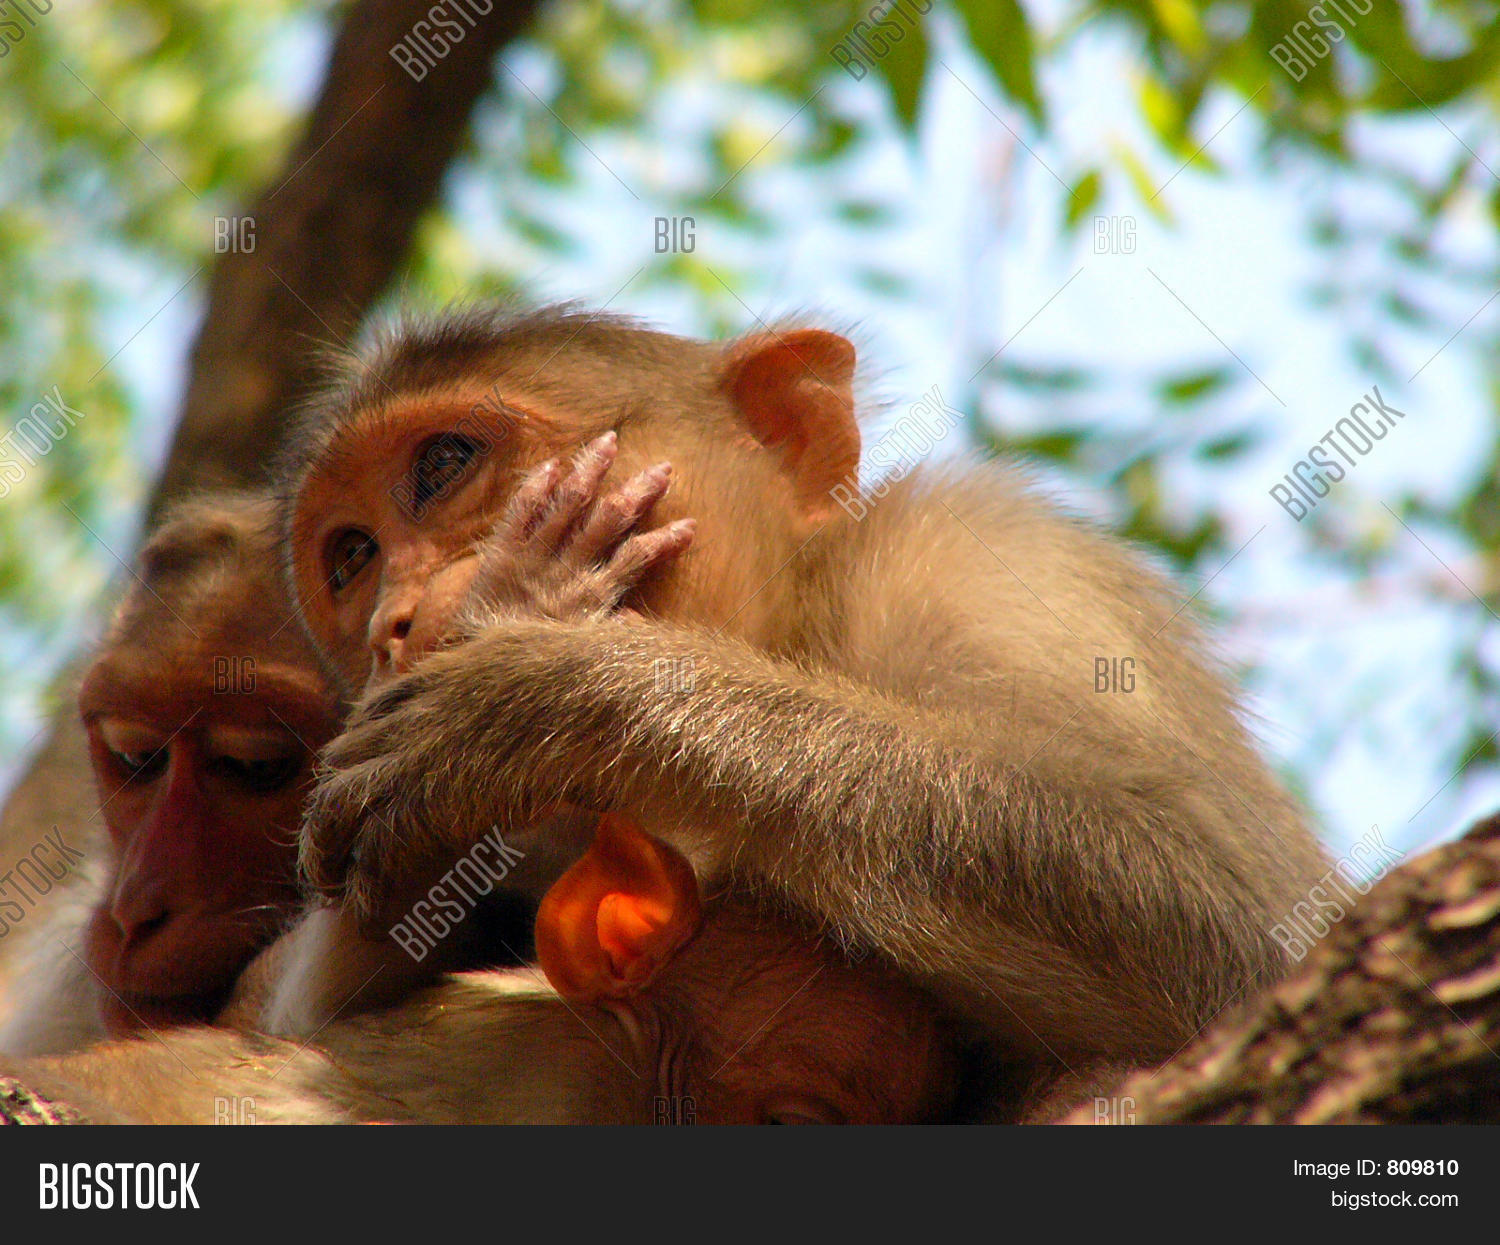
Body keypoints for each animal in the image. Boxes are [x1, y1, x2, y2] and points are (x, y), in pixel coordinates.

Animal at [275, 303, 1327, 1085]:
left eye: (443, 464)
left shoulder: (982, 558)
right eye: (352, 557)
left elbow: (1235, 935)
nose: (393, 622)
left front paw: (555, 690)